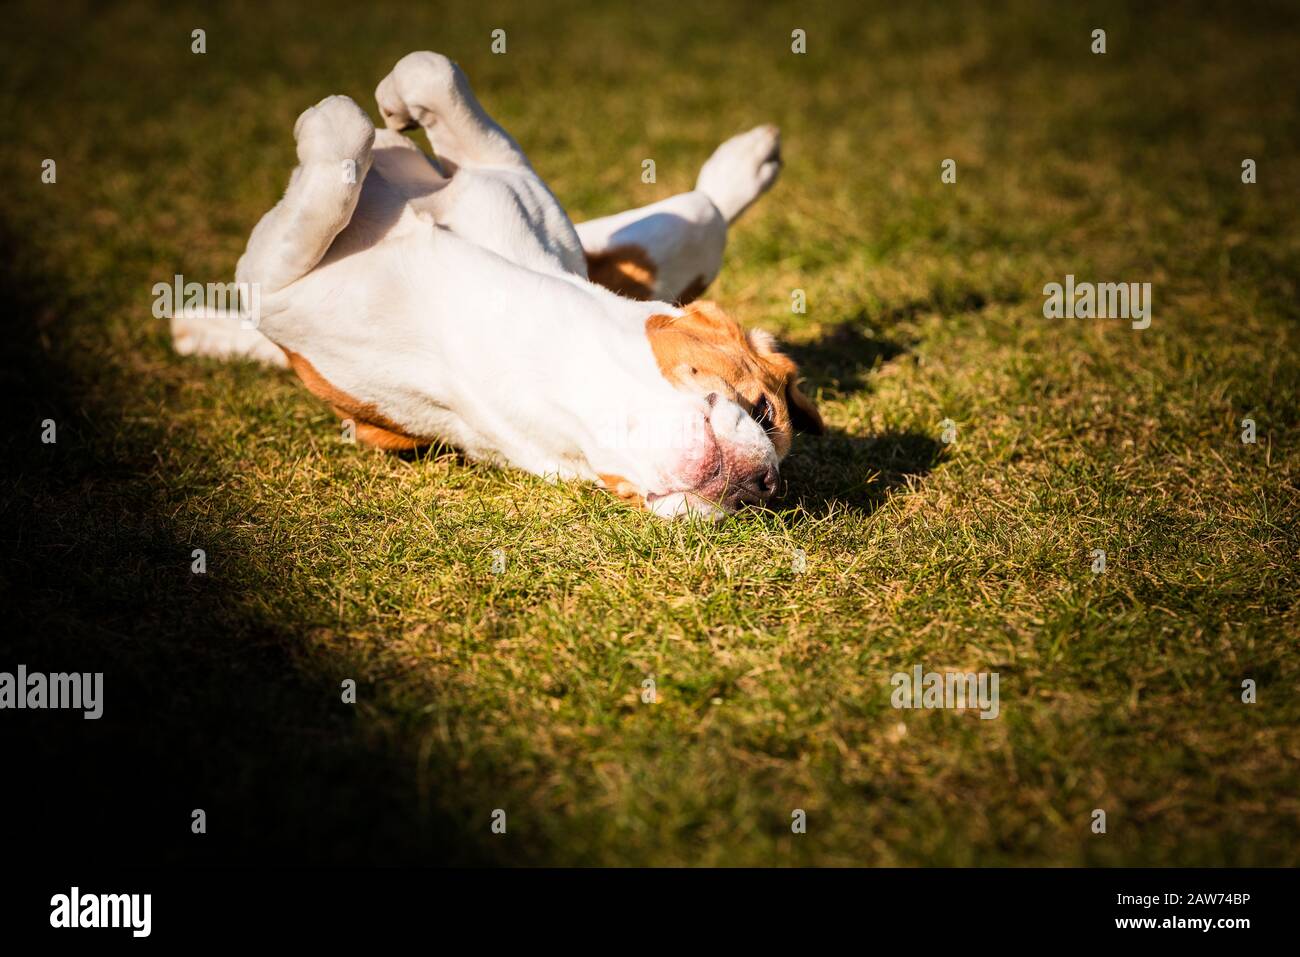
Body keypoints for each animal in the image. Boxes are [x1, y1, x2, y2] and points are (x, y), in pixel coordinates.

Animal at [172, 51, 821, 520]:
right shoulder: (505, 179)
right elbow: (429, 70)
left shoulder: (269, 275)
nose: (763, 486)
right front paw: (394, 111)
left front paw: (329, 121)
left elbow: (340, 141)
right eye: (763, 411)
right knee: (704, 212)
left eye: (767, 497)